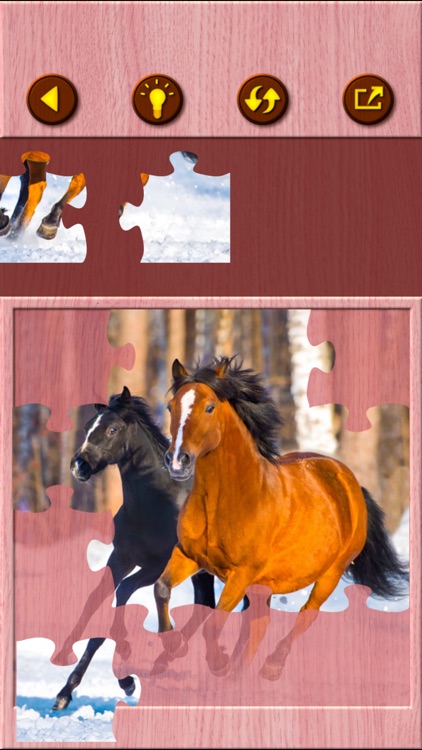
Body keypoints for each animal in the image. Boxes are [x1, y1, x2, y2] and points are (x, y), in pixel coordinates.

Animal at [52, 385, 216, 710]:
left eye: (113, 429)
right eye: (88, 427)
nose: (79, 465)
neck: (156, 505)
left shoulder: (156, 566)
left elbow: (122, 594)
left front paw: (126, 677)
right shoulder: (121, 558)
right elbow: (95, 600)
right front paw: (65, 689)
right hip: (202, 574)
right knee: (206, 607)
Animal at [154, 356, 408, 676]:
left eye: (209, 407)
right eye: (171, 406)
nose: (177, 461)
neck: (227, 500)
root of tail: (348, 481)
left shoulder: (241, 574)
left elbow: (216, 620)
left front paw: (217, 661)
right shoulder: (189, 555)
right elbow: (162, 589)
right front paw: (171, 647)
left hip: (331, 572)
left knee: (306, 614)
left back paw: (270, 666)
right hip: (265, 585)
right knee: (258, 625)